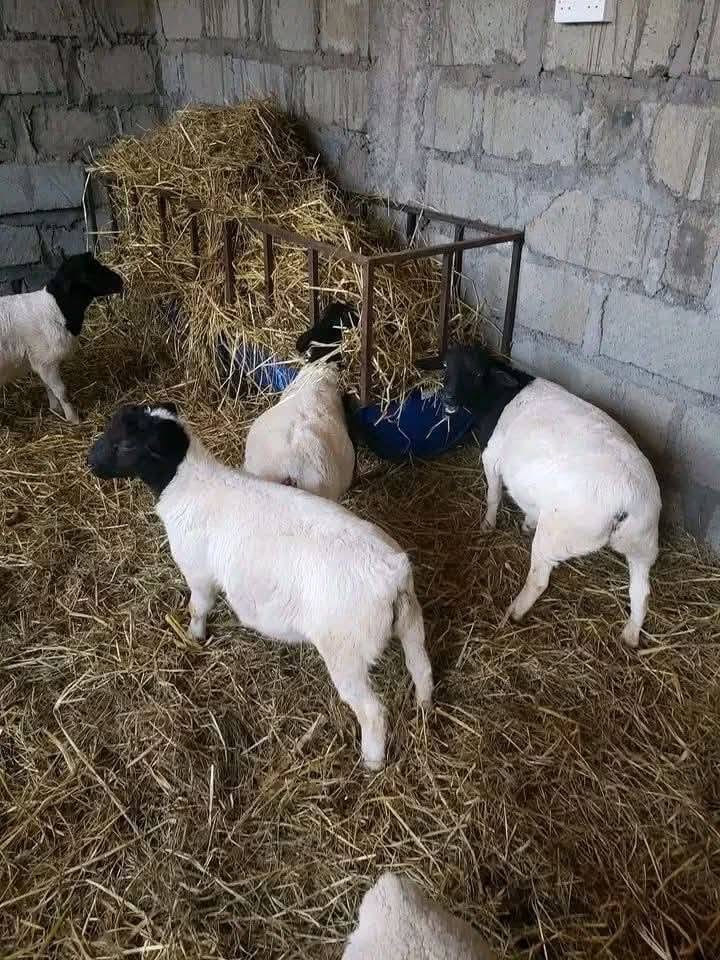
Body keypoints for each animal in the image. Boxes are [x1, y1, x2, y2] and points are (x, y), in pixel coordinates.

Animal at [0, 252, 124, 423]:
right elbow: (61, 392)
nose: (120, 281)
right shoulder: (46, 362)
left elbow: (49, 388)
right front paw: (73, 418)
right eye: (94, 271)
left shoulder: (42, 361)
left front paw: (55, 410)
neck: (56, 307)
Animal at [87, 403, 433, 769]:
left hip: (347, 651)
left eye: (126, 444)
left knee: (372, 711)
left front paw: (194, 637)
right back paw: (424, 708)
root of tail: (391, 574)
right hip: (411, 622)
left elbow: (198, 607)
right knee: (421, 668)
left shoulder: (198, 572)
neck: (186, 483)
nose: (89, 462)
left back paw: (371, 761)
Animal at [423, 343, 661, 648]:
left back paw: (515, 610)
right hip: (643, 544)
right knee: (641, 591)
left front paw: (488, 524)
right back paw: (631, 634)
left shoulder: (492, 457)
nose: (448, 397)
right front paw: (526, 523)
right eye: (444, 366)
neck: (500, 396)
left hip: (558, 535)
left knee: (540, 579)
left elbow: (493, 495)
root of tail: (627, 502)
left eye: (476, 372)